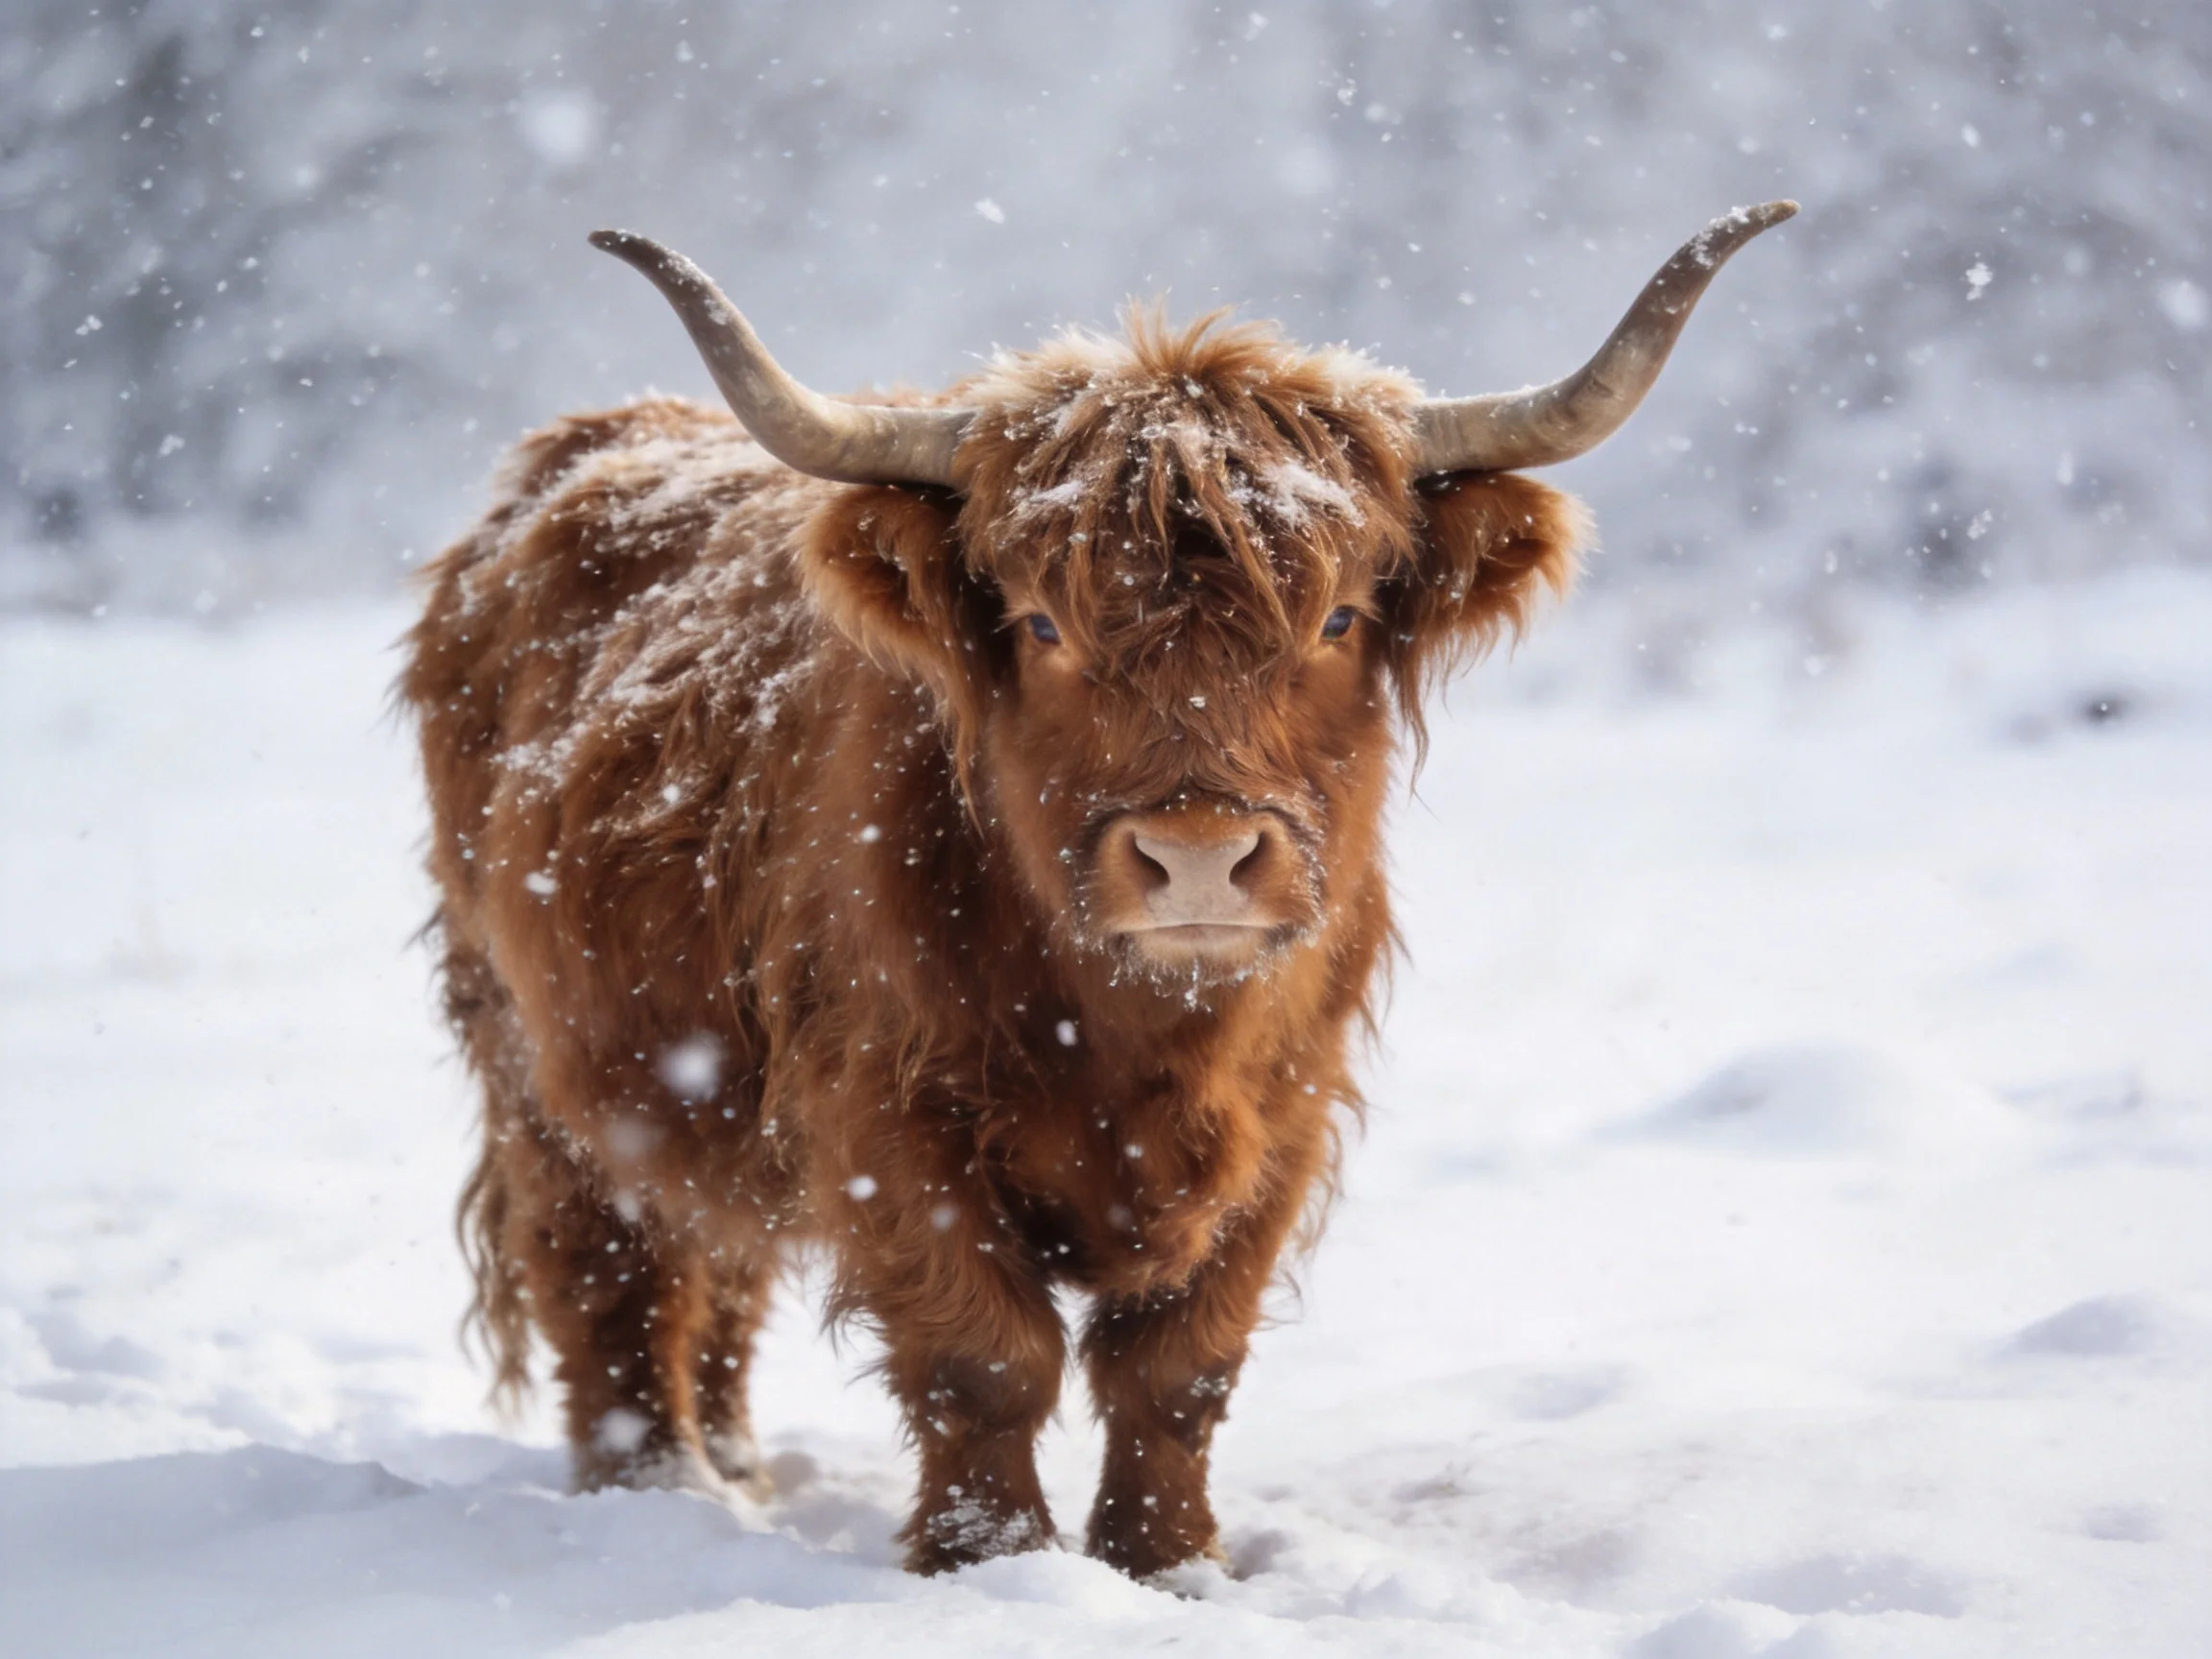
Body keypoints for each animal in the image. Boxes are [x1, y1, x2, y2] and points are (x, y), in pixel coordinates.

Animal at [401, 201, 1794, 1578]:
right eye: (1041, 626)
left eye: (1339, 620)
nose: (1199, 856)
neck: (1141, 1032)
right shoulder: (885, 1109)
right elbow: (984, 1358)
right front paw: (990, 1562)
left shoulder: (1285, 1116)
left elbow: (1178, 1367)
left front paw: (1166, 1565)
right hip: (539, 1055)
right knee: (610, 1270)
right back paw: (652, 1486)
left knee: (719, 1255)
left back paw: (734, 1467)